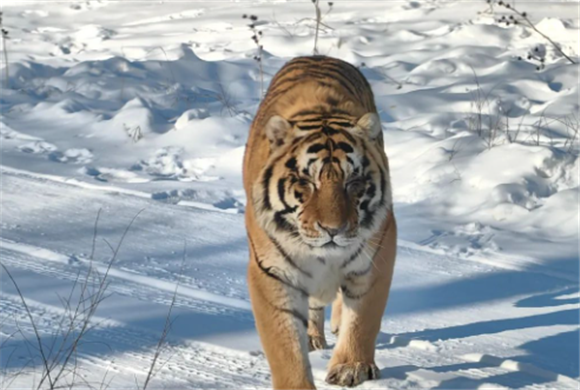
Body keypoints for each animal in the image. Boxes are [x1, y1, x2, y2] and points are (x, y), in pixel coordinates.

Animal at [242, 55, 396, 390]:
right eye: (305, 182)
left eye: (354, 182)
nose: (333, 230)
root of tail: (317, 56)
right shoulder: (272, 272)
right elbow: (284, 344)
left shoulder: (377, 256)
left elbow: (362, 318)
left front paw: (351, 368)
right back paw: (314, 337)